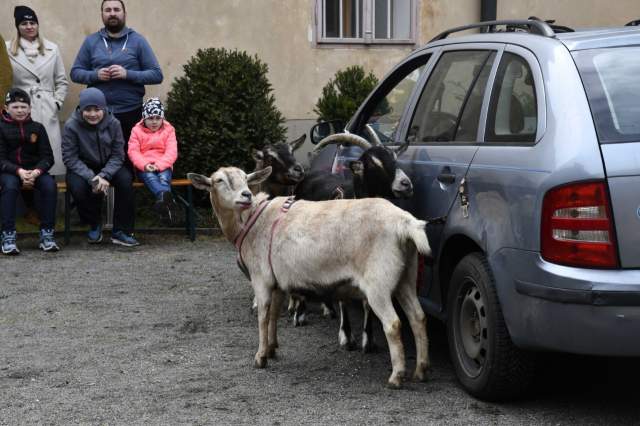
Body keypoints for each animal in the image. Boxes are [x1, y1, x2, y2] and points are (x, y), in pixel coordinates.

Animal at [188, 166, 431, 388]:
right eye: (218, 180)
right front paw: (272, 348)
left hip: (378, 282)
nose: (246, 195)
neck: (250, 221)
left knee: (393, 324)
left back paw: (397, 376)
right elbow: (274, 315)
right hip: (405, 276)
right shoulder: (277, 281)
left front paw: (260, 357)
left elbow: (263, 316)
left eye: (246, 179)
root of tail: (405, 222)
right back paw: (420, 370)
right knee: (418, 317)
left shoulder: (261, 278)